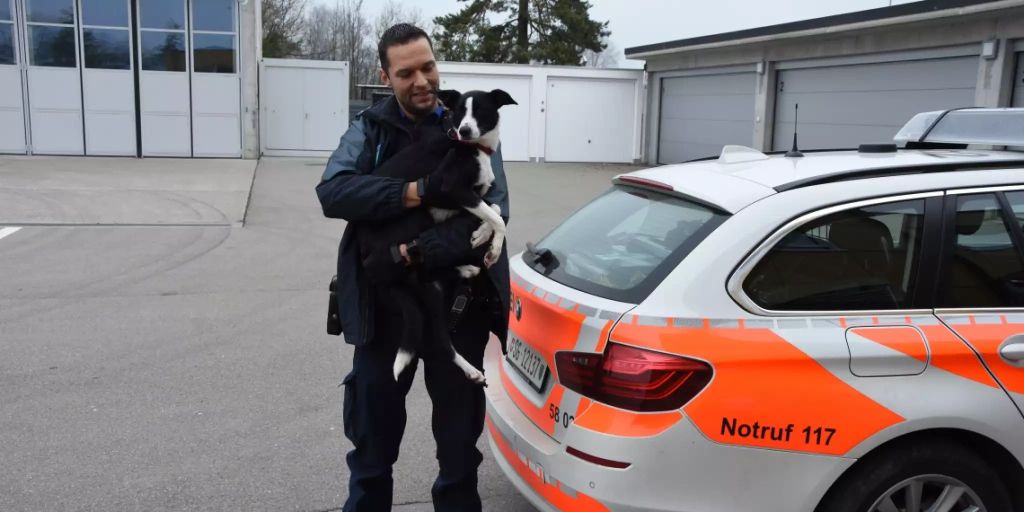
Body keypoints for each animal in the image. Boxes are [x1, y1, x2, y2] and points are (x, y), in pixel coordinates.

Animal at [360, 89, 520, 385]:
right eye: (458, 111)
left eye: (480, 110)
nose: (464, 130)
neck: (473, 148)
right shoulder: (449, 189)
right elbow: (496, 218)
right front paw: (491, 248)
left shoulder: (466, 198)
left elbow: (494, 209)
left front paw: (480, 234)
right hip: (414, 219)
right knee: (439, 334)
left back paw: (466, 269)